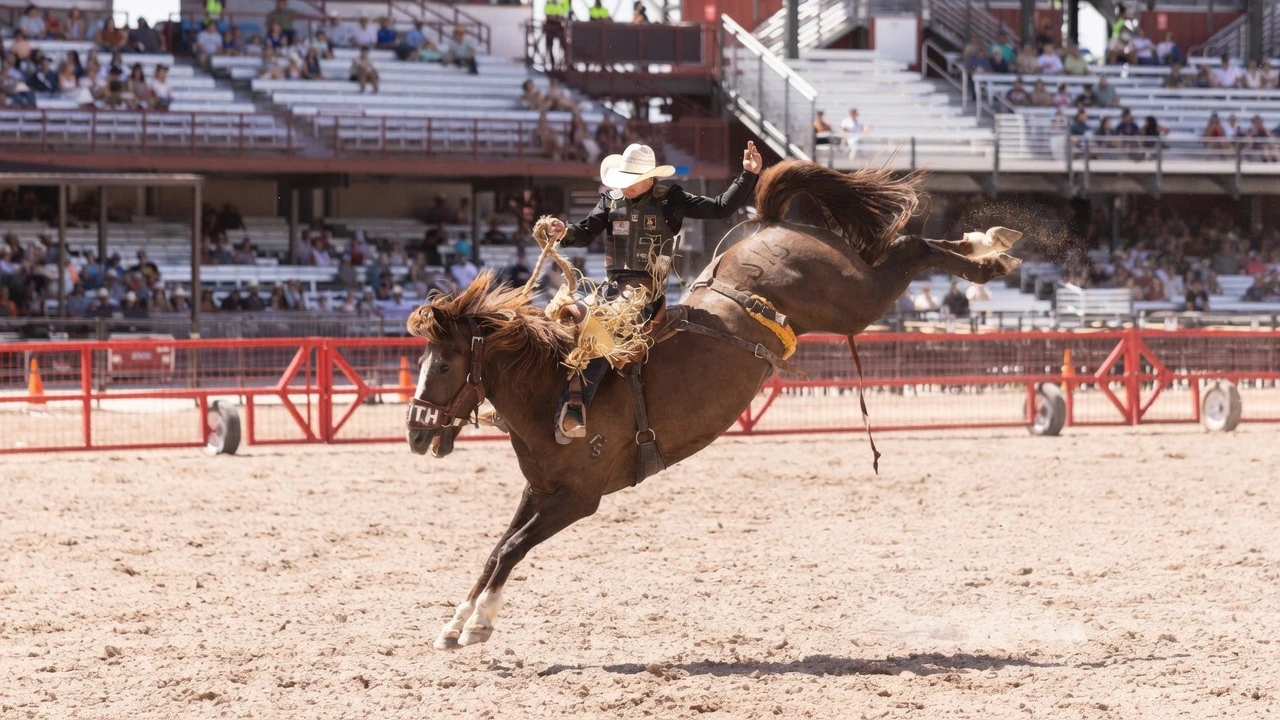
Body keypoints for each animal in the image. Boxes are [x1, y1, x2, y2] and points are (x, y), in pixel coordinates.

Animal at [405, 160, 1023, 649]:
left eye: (443, 364)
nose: (414, 433)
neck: (554, 388)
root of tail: (768, 224)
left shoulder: (578, 499)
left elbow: (511, 549)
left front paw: (477, 623)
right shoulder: (539, 491)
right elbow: (497, 549)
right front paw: (457, 622)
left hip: (856, 299)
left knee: (911, 249)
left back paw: (990, 252)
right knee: (907, 248)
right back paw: (988, 248)